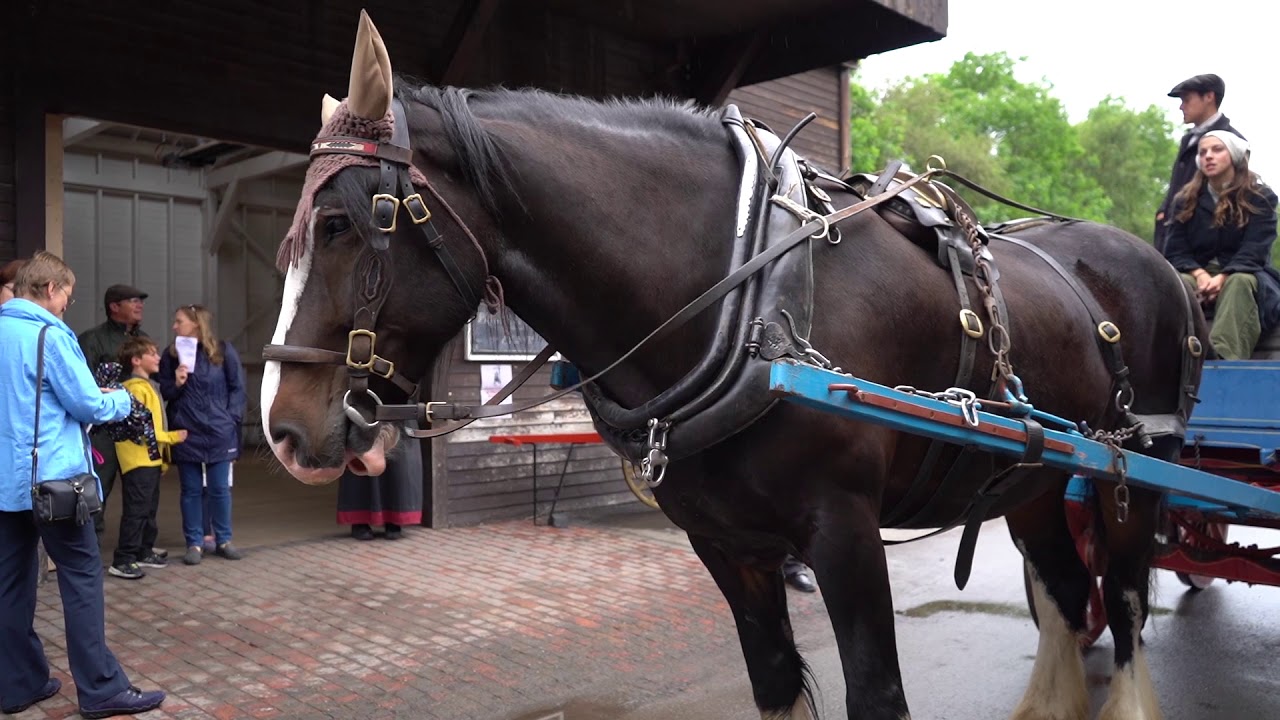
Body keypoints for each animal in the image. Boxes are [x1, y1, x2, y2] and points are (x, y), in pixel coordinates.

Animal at [261, 12, 1206, 720]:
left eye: (343, 222)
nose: (284, 432)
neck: (748, 295)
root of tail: (1147, 262)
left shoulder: (846, 532)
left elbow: (878, 694)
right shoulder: (725, 544)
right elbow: (775, 683)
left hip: (1139, 467)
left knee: (1124, 600)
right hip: (1035, 480)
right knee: (1065, 590)